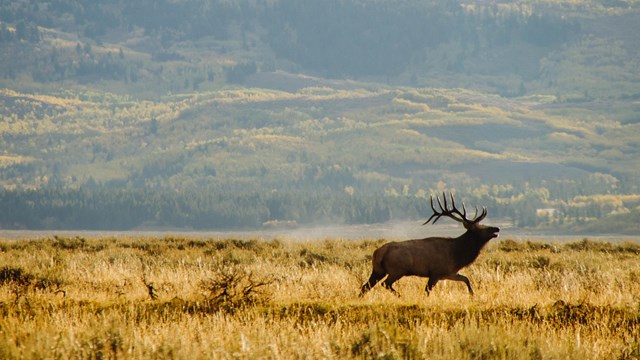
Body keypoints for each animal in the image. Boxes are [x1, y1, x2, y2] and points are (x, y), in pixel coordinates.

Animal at [360, 193, 500, 296]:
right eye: (480, 228)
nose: (496, 228)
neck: (457, 255)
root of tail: (378, 252)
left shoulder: (448, 273)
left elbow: (466, 279)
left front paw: (472, 295)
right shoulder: (436, 273)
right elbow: (427, 291)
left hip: (378, 270)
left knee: (365, 286)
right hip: (397, 270)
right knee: (385, 284)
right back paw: (400, 295)